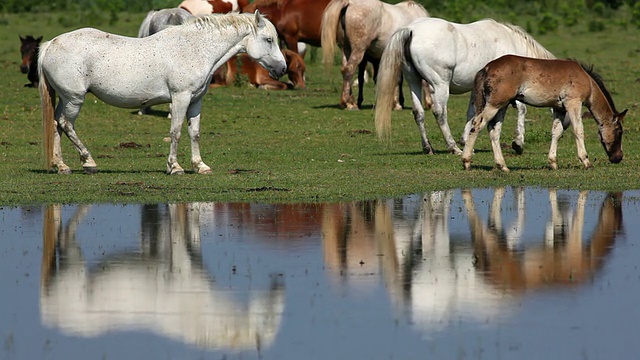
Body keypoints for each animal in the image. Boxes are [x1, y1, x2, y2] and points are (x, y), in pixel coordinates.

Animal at [36, 11, 284, 174]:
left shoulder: (196, 101)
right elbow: (176, 132)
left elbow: (195, 133)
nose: (282, 69)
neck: (194, 49)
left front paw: (200, 166)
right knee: (66, 124)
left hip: (65, 99)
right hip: (74, 99)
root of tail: (50, 44)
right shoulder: (180, 97)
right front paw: (175, 167)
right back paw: (88, 162)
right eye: (269, 40)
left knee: (56, 124)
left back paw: (61, 166)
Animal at [376, 17, 556, 155]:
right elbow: (521, 109)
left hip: (413, 81)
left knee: (418, 113)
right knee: (440, 113)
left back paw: (428, 148)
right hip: (439, 85)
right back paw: (453, 147)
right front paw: (518, 143)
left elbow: (472, 112)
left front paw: (465, 140)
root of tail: (411, 29)